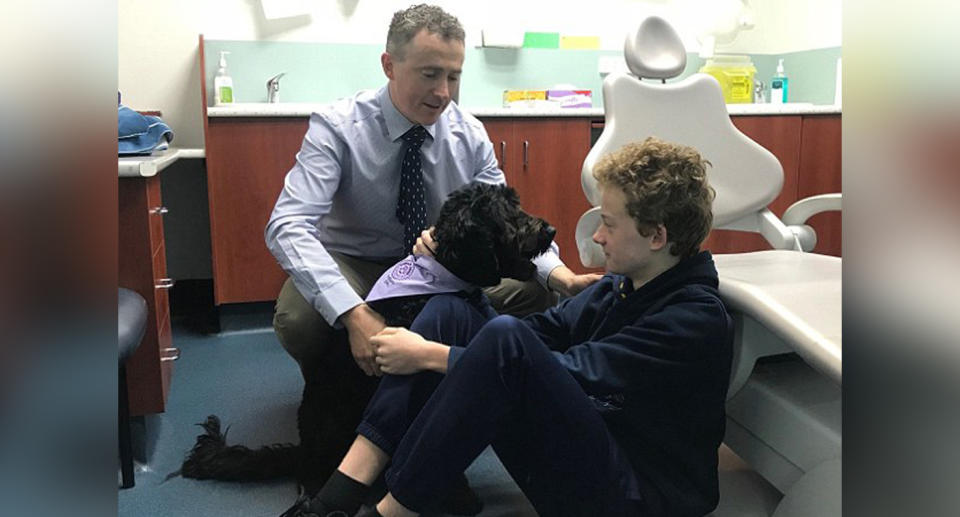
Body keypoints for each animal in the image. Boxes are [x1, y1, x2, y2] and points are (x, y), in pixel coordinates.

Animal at [180, 183, 556, 512]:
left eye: (517, 204)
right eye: (507, 214)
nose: (551, 230)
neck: (439, 280)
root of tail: (303, 449)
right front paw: (457, 495)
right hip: (331, 428)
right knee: (315, 474)